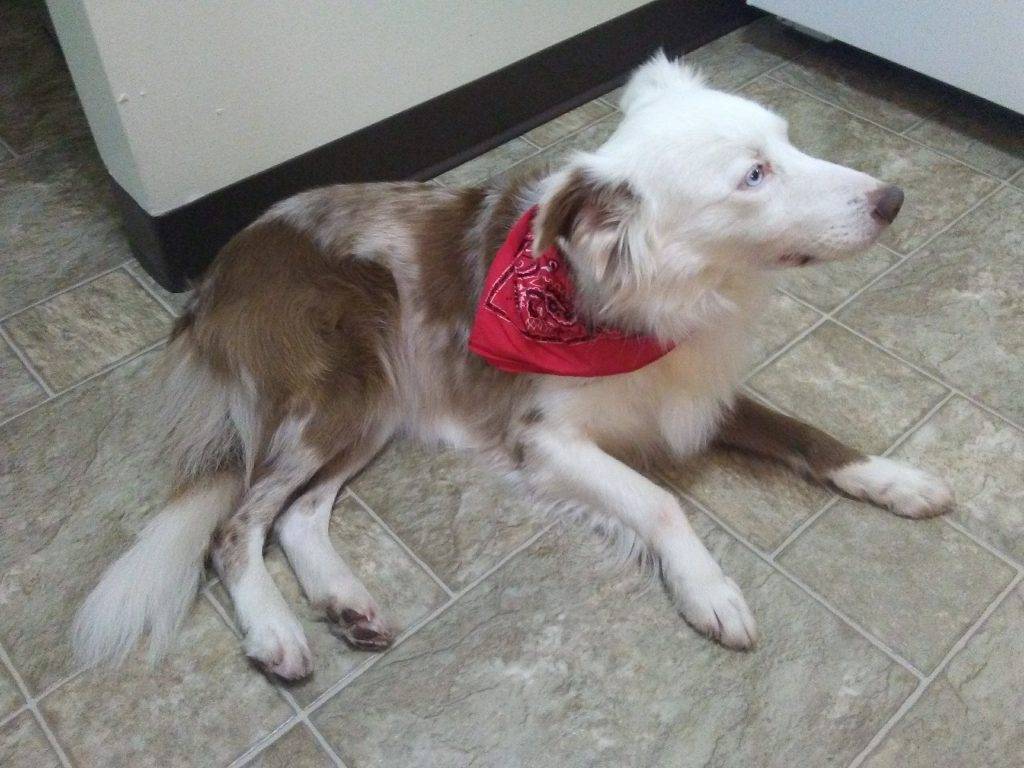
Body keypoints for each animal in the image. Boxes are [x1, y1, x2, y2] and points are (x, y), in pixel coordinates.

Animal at [74, 54, 950, 679]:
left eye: (789, 141)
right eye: (754, 175)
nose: (893, 199)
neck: (639, 302)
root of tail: (215, 275)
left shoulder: (694, 382)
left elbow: (807, 433)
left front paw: (896, 479)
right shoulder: (546, 440)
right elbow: (660, 502)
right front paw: (710, 589)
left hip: (376, 401)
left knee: (298, 512)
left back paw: (345, 601)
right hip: (332, 389)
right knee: (235, 525)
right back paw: (276, 630)